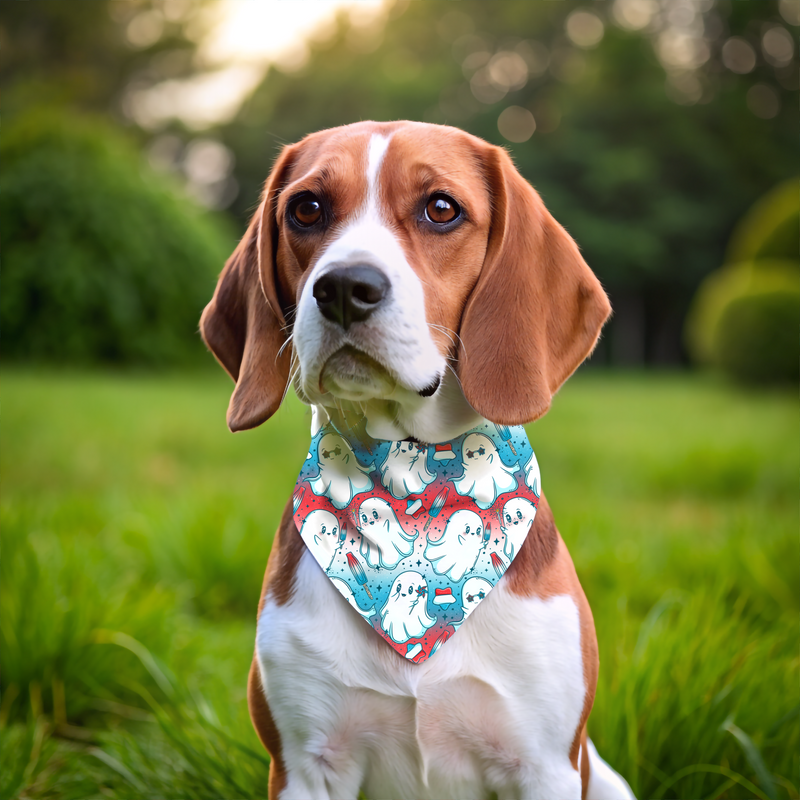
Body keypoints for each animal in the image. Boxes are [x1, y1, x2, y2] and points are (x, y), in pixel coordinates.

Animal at [198, 122, 632, 800]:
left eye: (441, 208)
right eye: (306, 208)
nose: (344, 288)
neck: (407, 473)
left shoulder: (545, 766)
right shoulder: (304, 764)